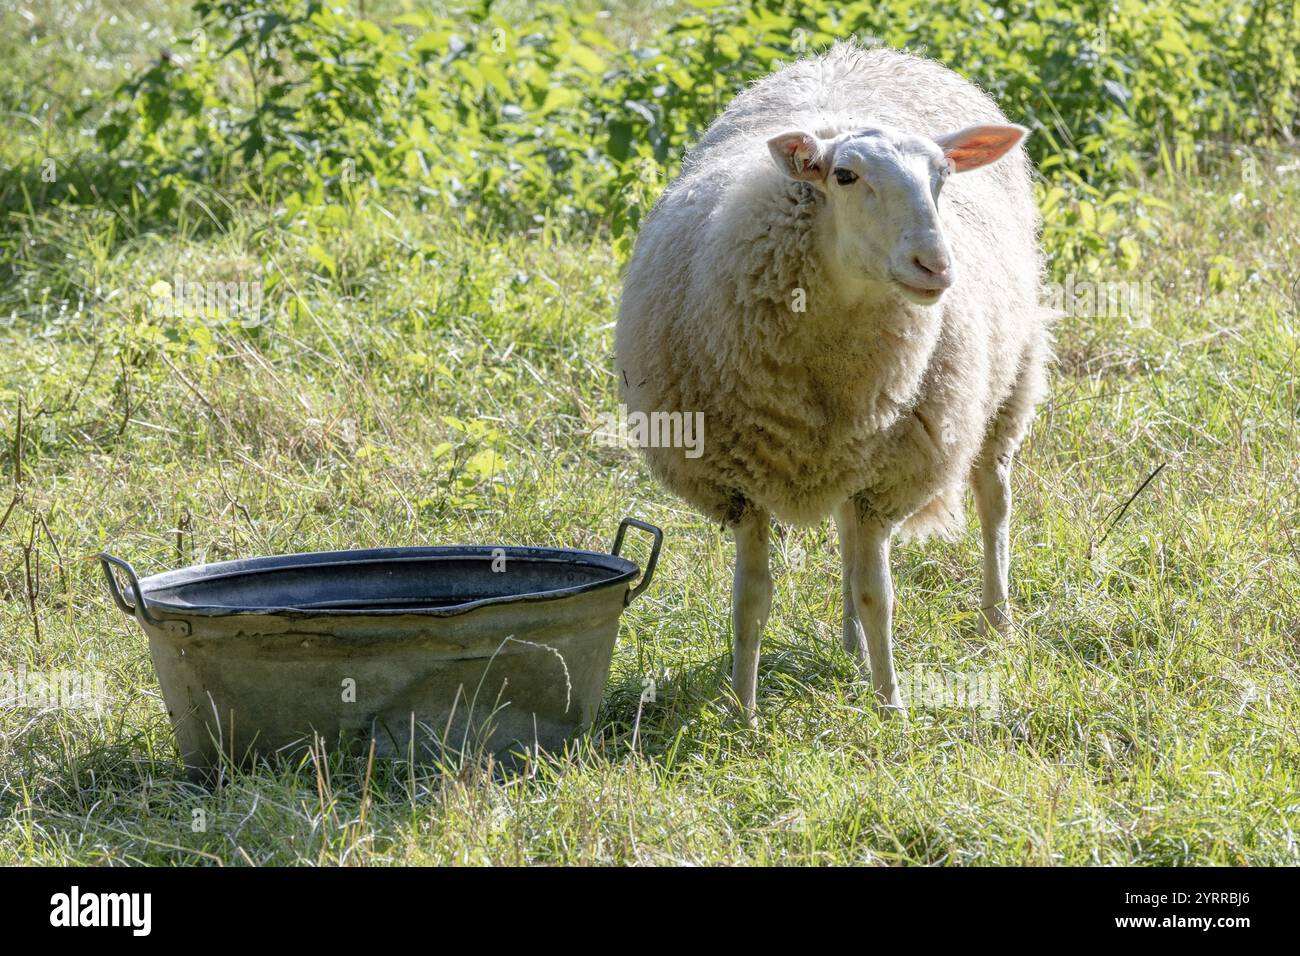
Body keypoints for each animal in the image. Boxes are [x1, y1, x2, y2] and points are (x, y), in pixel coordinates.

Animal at [614, 43, 1052, 722]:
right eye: (844, 176)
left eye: (942, 177)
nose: (935, 266)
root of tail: (858, 53)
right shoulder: (738, 486)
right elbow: (751, 599)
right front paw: (744, 713)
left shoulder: (888, 476)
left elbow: (880, 594)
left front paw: (890, 705)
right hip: (855, 451)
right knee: (847, 537)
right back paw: (850, 646)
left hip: (1009, 381)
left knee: (993, 499)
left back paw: (996, 620)